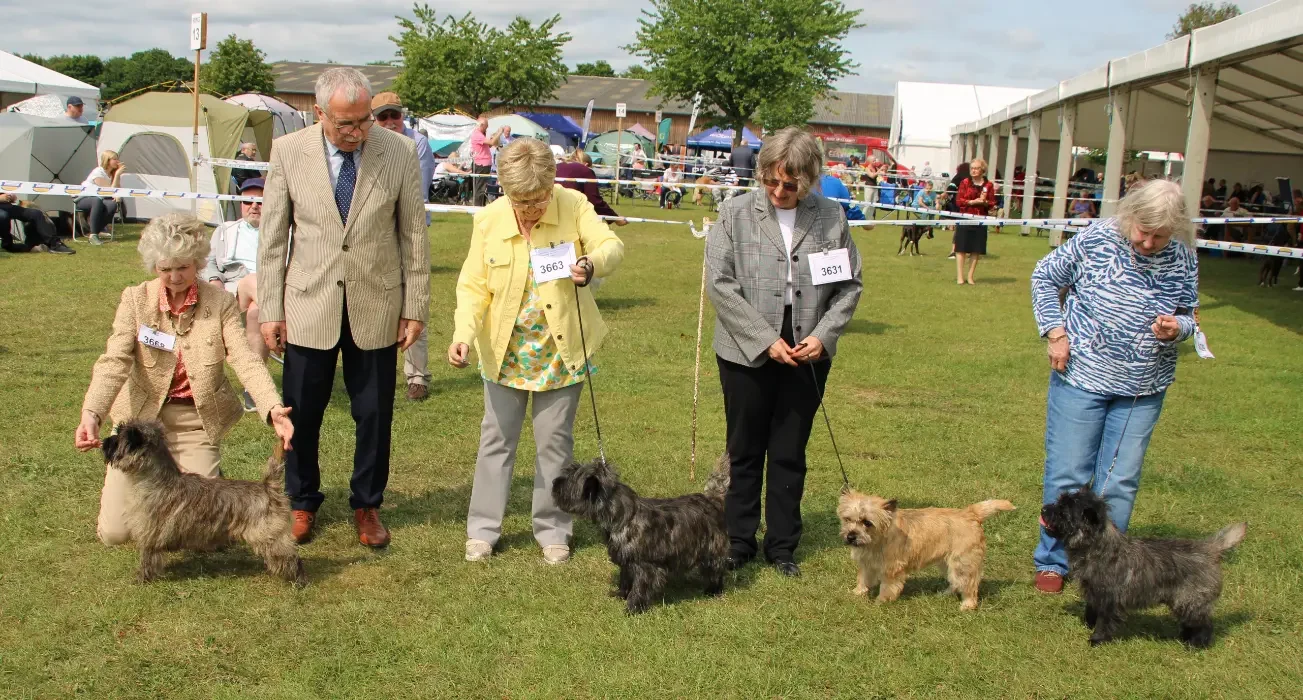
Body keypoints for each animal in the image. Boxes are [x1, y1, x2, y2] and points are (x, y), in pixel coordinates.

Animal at [102, 420, 307, 587]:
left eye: (118, 438)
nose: (104, 442)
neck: (155, 481)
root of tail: (268, 487)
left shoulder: (149, 536)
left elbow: (147, 560)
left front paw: (141, 579)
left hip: (267, 536)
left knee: (291, 557)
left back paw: (297, 580)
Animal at [551, 455, 730, 614]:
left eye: (568, 481)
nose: (554, 483)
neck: (623, 517)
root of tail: (712, 500)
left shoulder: (645, 567)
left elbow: (640, 587)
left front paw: (633, 608)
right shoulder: (627, 561)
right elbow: (625, 579)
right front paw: (621, 595)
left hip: (711, 550)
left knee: (716, 571)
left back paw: (713, 591)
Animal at [837, 490, 1015, 611]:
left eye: (867, 522)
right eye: (847, 519)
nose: (851, 536)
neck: (878, 539)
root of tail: (970, 513)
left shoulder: (892, 568)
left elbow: (887, 587)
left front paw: (881, 601)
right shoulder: (867, 564)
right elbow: (863, 579)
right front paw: (857, 593)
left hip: (962, 562)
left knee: (968, 583)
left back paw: (967, 604)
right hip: (946, 562)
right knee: (955, 581)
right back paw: (945, 593)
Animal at [1040, 489, 1246, 648]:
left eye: (1063, 511)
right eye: (1059, 502)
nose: (1043, 509)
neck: (1098, 548)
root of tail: (1210, 548)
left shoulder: (1109, 599)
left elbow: (1104, 621)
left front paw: (1097, 639)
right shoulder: (1094, 593)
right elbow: (1092, 610)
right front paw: (1088, 624)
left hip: (1191, 600)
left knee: (1204, 624)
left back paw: (1197, 645)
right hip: (1183, 601)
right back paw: (1185, 638)